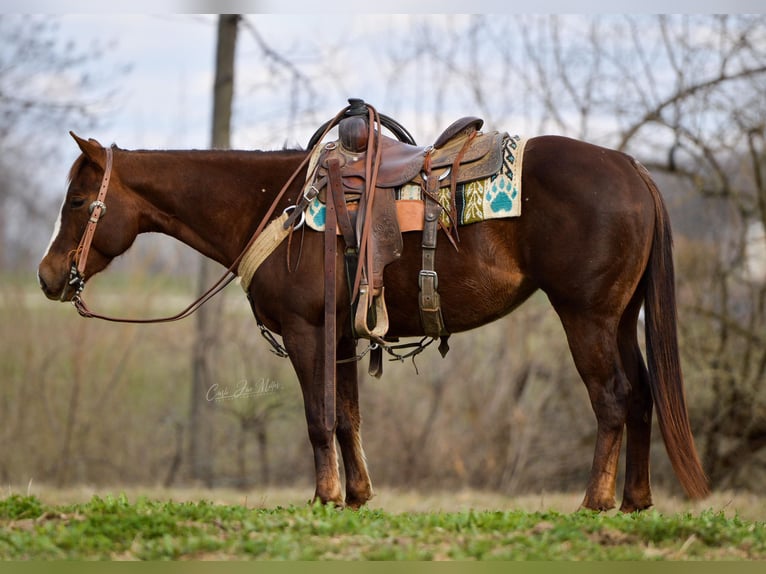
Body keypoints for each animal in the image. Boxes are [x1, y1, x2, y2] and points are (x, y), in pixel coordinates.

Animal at [37, 132, 708, 512]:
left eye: (77, 201)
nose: (47, 276)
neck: (274, 205)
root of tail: (633, 169)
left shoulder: (307, 334)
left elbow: (318, 420)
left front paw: (325, 497)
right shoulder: (339, 338)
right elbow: (348, 419)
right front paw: (356, 496)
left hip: (586, 318)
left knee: (613, 398)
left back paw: (595, 502)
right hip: (619, 319)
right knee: (641, 395)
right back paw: (636, 501)